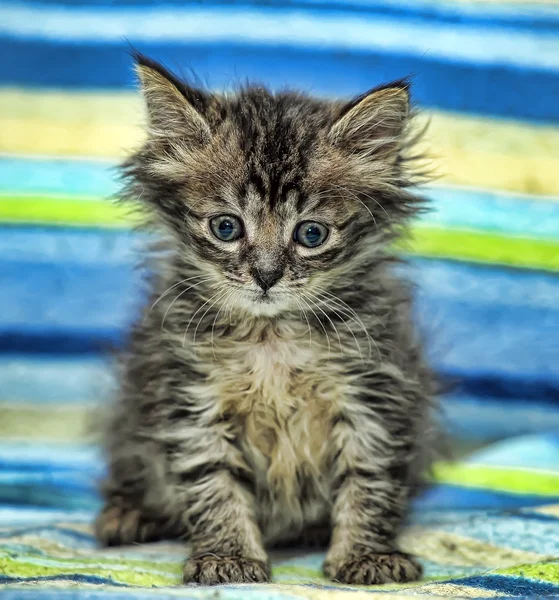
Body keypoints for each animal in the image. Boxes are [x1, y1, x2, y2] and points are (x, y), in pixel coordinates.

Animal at [95, 52, 438, 584]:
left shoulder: (373, 392)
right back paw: (129, 513)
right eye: (226, 227)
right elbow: (213, 485)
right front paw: (229, 556)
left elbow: (369, 479)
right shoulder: (192, 397)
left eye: (311, 234)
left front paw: (365, 555)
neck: (271, 336)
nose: (266, 274)